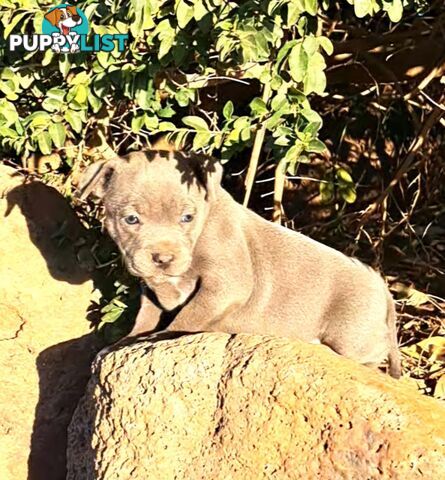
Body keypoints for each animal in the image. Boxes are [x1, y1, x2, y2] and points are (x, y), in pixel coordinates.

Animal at [80, 148, 402, 376]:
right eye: (131, 219)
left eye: (187, 217)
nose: (163, 258)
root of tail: (380, 282)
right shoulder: (152, 290)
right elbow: (145, 316)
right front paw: (126, 341)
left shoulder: (225, 286)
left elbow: (188, 316)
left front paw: (158, 337)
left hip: (352, 334)